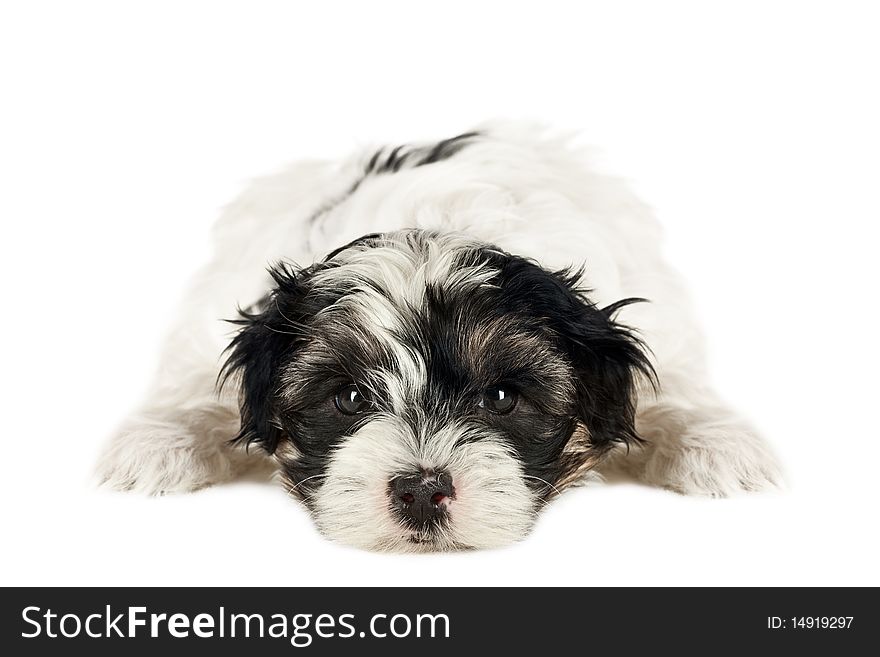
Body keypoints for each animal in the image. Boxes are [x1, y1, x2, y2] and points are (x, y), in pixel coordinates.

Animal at [99, 121, 780, 548]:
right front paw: (159, 441)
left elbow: (674, 385)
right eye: (349, 398)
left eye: (502, 398)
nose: (422, 490)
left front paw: (717, 444)